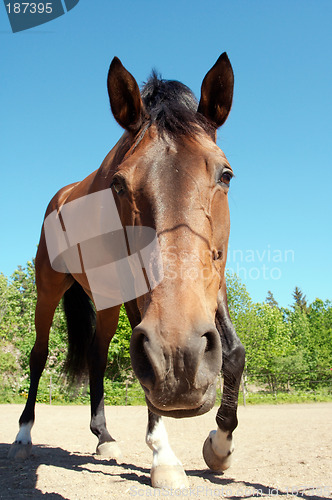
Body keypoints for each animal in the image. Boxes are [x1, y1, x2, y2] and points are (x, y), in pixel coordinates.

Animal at [9, 52, 245, 490]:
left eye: (225, 174)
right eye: (118, 184)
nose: (181, 360)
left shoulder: (213, 283)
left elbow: (233, 354)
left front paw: (220, 446)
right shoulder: (138, 293)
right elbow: (147, 370)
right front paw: (164, 456)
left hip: (105, 304)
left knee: (97, 357)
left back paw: (104, 437)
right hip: (48, 289)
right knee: (38, 355)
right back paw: (23, 435)